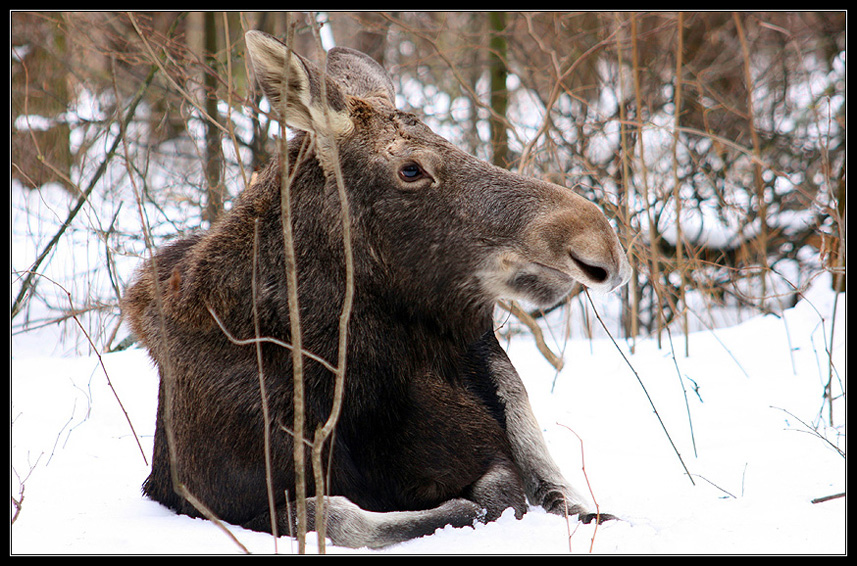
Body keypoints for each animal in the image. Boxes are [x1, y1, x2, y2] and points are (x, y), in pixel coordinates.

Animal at [122, 31, 628, 552]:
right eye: (411, 169)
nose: (600, 245)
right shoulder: (211, 497)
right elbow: (346, 516)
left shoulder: (485, 433)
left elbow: (502, 488)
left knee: (550, 473)